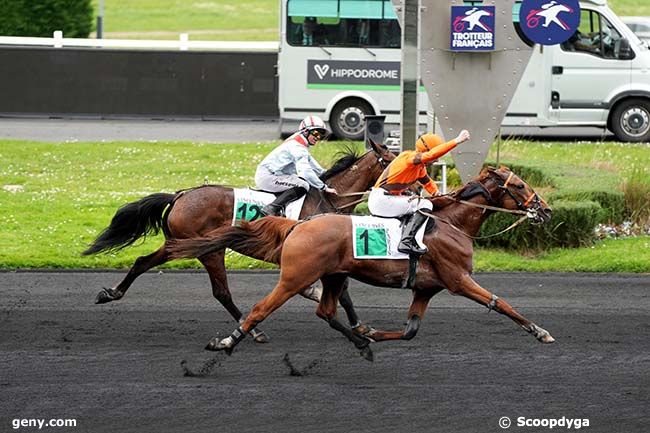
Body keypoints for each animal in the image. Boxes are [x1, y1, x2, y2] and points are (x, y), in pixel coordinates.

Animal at [83, 138, 392, 340]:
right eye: (391, 161)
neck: (330, 199)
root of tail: (180, 195)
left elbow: (340, 292)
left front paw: (362, 327)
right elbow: (340, 291)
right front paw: (359, 326)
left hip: (178, 244)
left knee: (142, 261)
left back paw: (111, 293)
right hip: (209, 250)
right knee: (221, 292)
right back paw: (253, 331)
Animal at [166, 167, 552, 360]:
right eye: (520, 185)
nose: (546, 209)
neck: (450, 224)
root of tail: (298, 225)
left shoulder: (426, 288)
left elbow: (410, 329)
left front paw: (371, 333)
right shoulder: (458, 280)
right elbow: (500, 303)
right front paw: (540, 331)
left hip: (334, 275)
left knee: (325, 310)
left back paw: (360, 342)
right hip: (295, 277)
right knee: (260, 308)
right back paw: (227, 343)